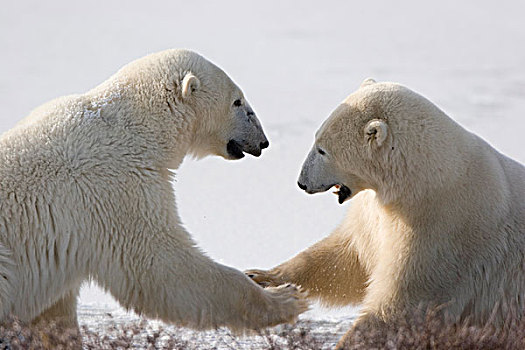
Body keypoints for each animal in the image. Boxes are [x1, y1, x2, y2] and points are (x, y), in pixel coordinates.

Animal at [0, 48, 308, 330]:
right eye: (237, 101)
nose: (263, 141)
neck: (135, 129)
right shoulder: (117, 188)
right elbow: (161, 267)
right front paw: (287, 298)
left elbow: (54, 312)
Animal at [246, 79, 524, 348]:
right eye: (316, 139)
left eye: (323, 150)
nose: (302, 183)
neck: (418, 181)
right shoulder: (376, 214)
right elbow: (344, 260)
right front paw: (261, 278)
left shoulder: (438, 232)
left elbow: (400, 305)